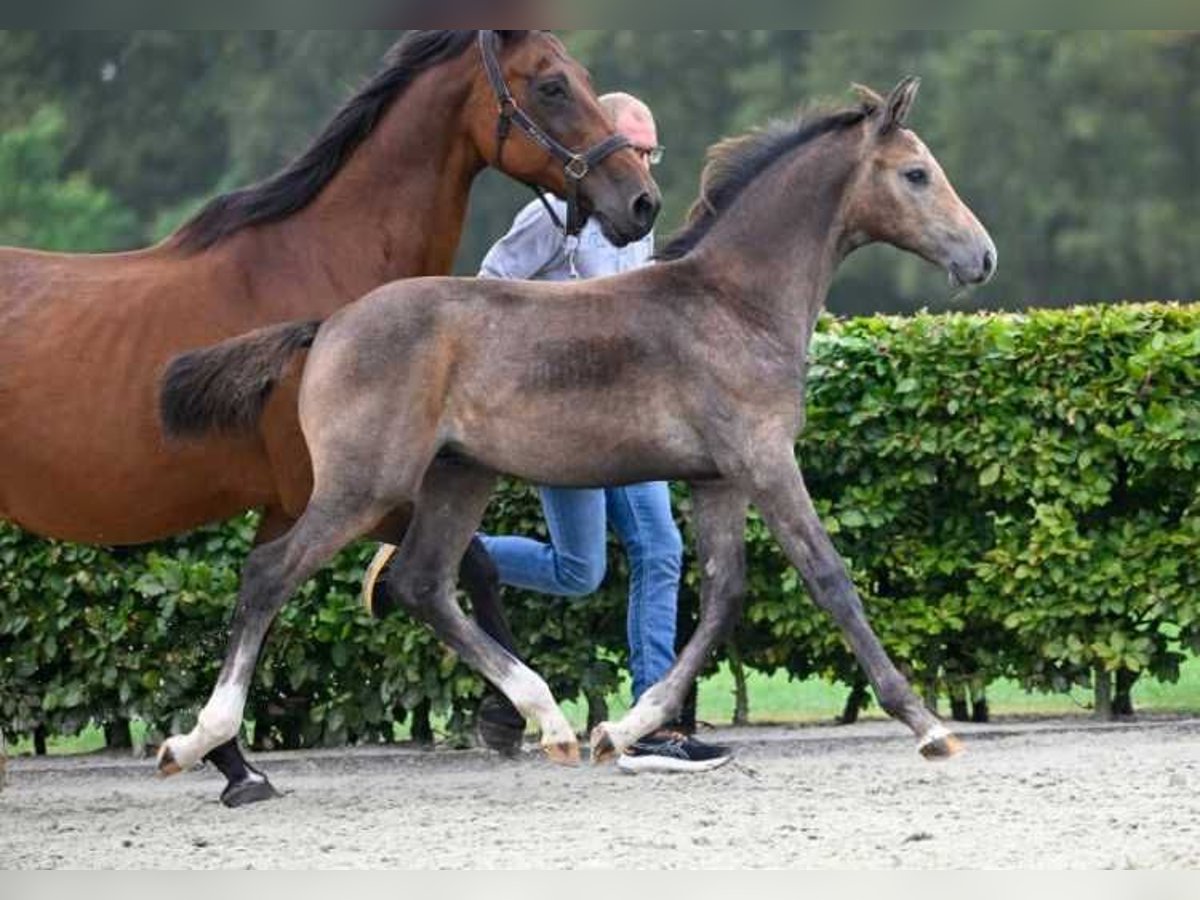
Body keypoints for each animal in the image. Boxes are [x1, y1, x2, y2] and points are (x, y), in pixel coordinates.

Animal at [0, 30, 657, 801]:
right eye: (552, 85)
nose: (642, 201)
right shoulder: (347, 491)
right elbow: (464, 567)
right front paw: (517, 716)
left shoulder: (292, 501)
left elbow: (265, 592)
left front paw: (231, 764)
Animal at [159, 77, 998, 782]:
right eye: (916, 174)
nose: (983, 256)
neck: (734, 303)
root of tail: (328, 325)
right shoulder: (765, 462)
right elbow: (829, 578)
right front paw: (927, 724)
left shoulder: (717, 479)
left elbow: (722, 595)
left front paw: (623, 729)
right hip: (365, 484)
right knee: (271, 573)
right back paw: (199, 741)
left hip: (460, 474)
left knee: (421, 581)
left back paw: (554, 722)